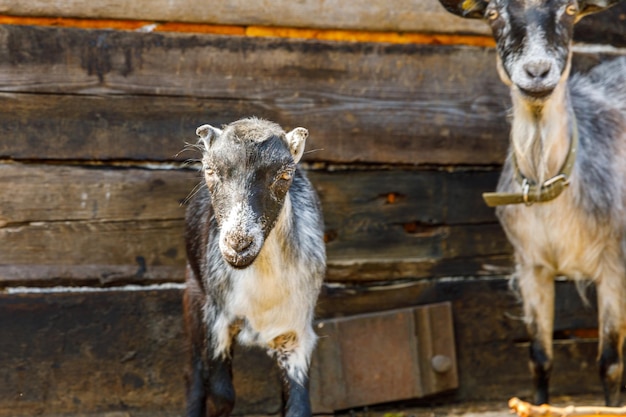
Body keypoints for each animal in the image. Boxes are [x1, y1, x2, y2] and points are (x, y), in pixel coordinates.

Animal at [183, 116, 324, 416]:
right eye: (209, 170)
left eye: (284, 176)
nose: (238, 244)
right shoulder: (215, 316)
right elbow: (221, 394)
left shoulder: (295, 332)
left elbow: (298, 407)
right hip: (192, 293)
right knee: (193, 374)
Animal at [434, 0, 624, 406]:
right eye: (493, 13)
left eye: (571, 9)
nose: (537, 71)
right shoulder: (530, 265)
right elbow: (539, 357)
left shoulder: (615, 261)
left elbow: (610, 363)